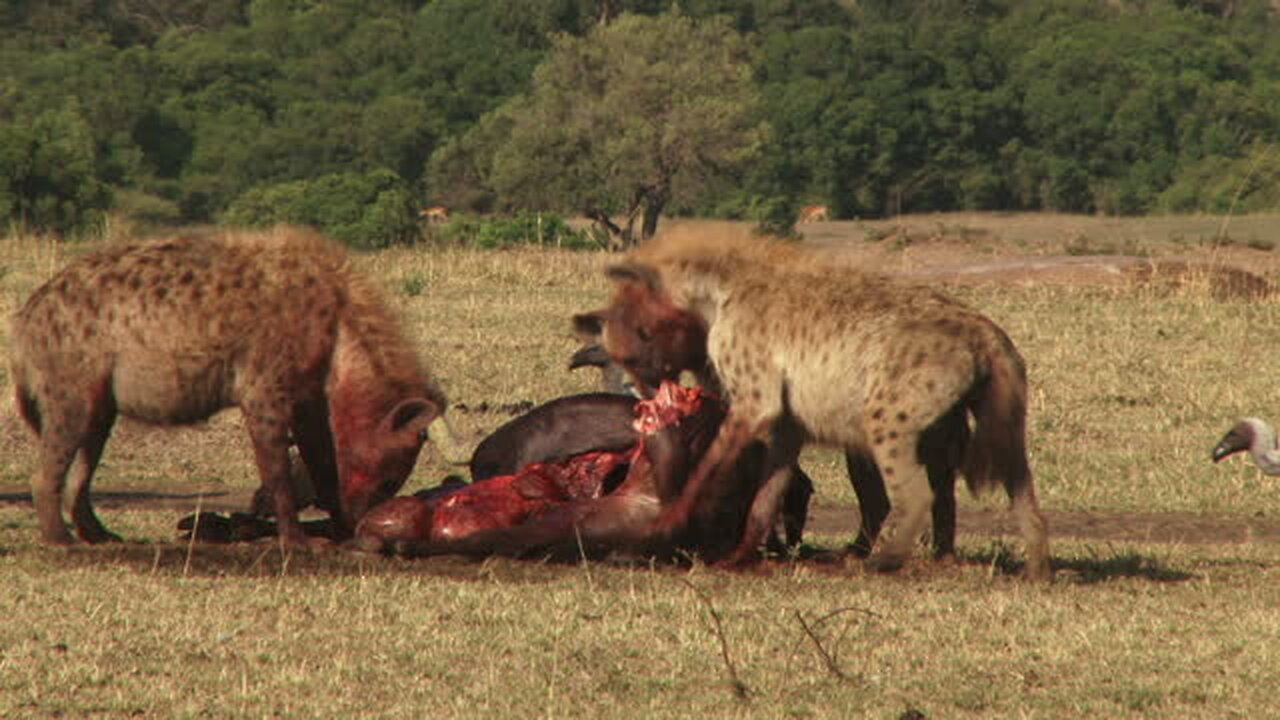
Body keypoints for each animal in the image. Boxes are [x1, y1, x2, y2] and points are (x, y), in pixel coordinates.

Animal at [593, 229, 1044, 576]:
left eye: (635, 347)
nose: (645, 394)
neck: (715, 295)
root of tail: (988, 334)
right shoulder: (787, 423)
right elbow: (767, 492)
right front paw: (739, 556)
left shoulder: (756, 398)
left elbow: (710, 465)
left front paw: (666, 521)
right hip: (995, 416)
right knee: (1017, 486)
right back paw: (1032, 569)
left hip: (887, 417)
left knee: (918, 494)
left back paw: (882, 561)